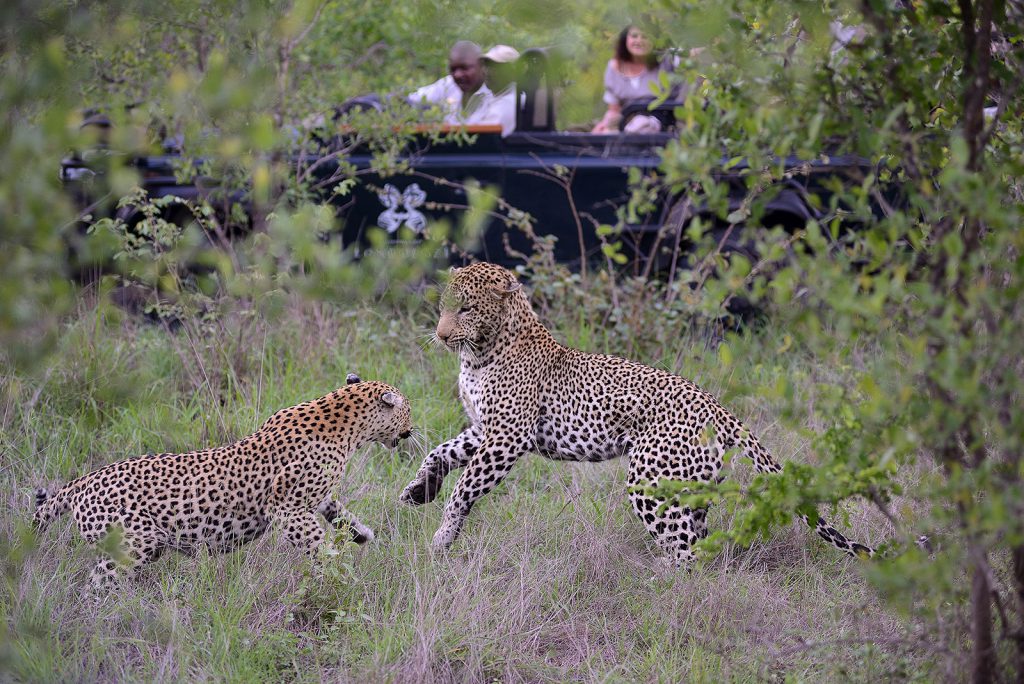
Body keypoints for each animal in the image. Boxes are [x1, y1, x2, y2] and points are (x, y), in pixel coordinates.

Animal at [36, 374, 411, 589]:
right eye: (407, 409)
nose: (412, 427)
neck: (346, 423)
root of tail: (80, 482)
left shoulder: (314, 498)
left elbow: (337, 510)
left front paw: (361, 534)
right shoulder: (286, 508)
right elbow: (317, 543)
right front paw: (339, 576)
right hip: (130, 547)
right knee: (96, 588)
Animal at [399, 262, 872, 565]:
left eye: (466, 308)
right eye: (444, 305)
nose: (441, 335)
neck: (478, 353)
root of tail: (717, 405)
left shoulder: (507, 436)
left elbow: (465, 487)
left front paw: (441, 538)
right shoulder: (484, 429)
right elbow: (440, 453)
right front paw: (419, 491)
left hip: (649, 479)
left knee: (688, 553)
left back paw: (661, 585)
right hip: (691, 488)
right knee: (702, 542)